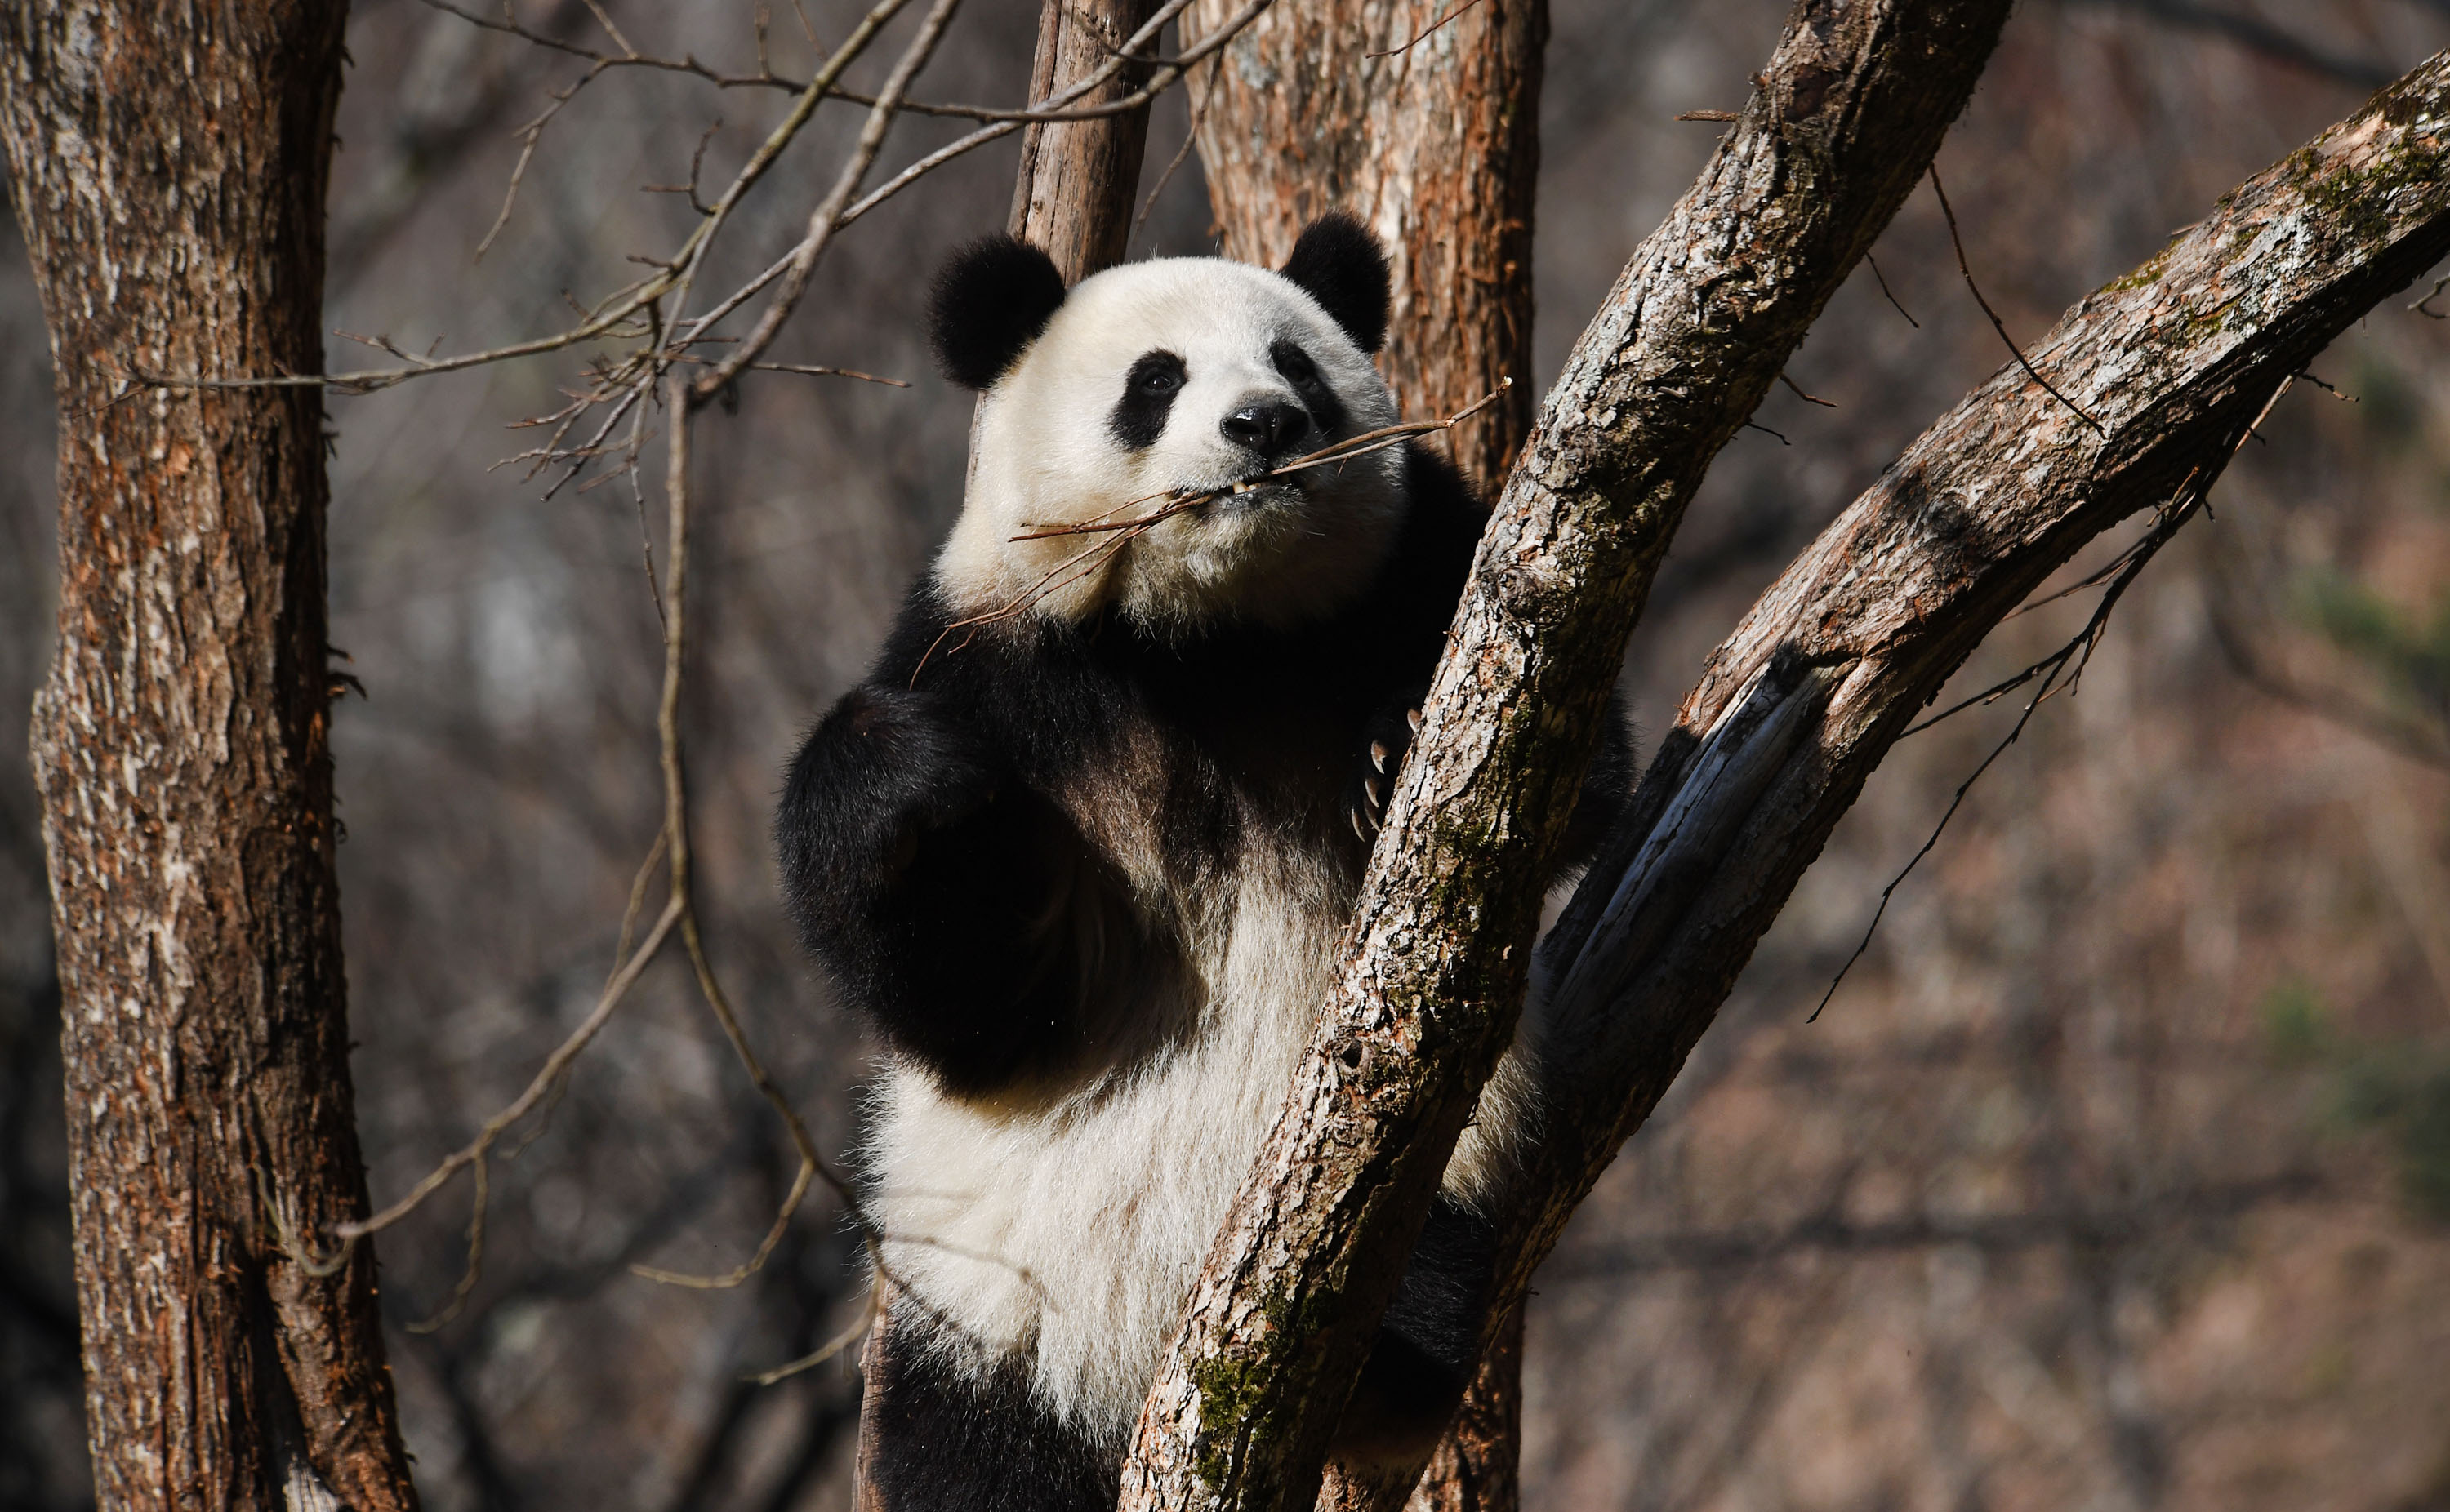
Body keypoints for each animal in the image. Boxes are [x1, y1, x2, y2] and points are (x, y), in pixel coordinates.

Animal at [774, 216, 1637, 1509]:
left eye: (1298, 363)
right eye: (1155, 381)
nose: (1264, 424)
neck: (1207, 643)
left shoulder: (1423, 562)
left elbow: (1569, 764)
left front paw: (1397, 746)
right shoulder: (1003, 668)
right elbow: (970, 1007)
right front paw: (911, 783)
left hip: (1446, 1178)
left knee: (1427, 1279)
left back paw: (1382, 1358)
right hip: (982, 1320)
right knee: (967, 1449)